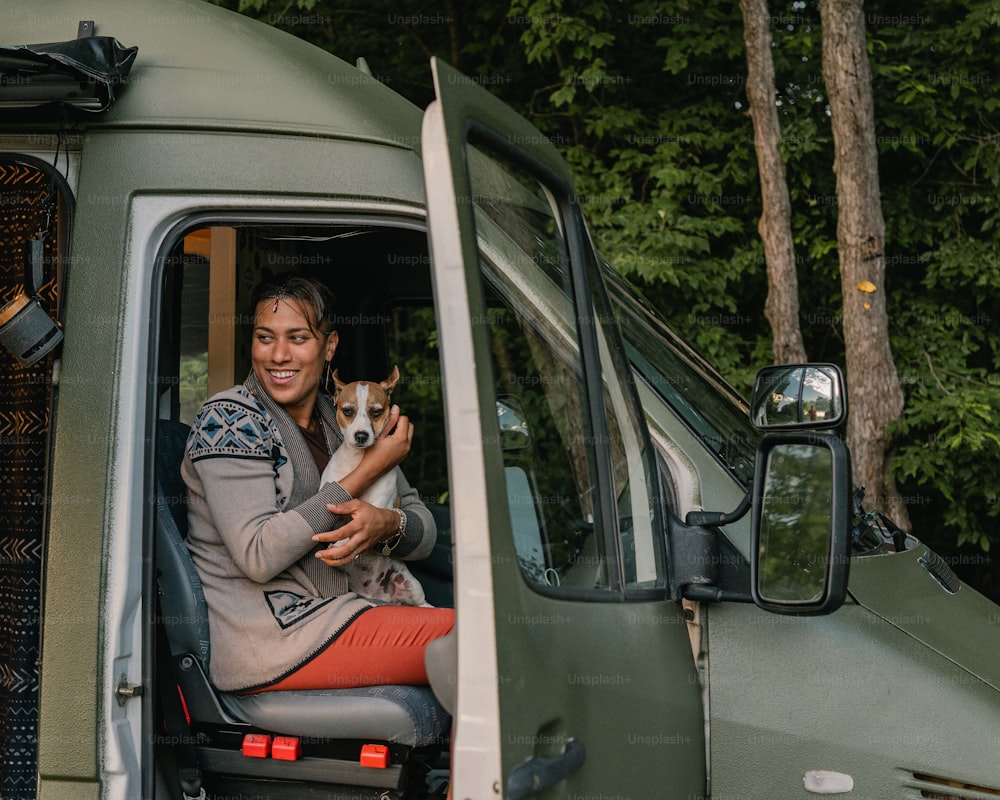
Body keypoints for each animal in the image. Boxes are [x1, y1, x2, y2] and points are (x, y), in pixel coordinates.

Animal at [320, 364, 430, 608]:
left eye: (376, 412)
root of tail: (377, 596)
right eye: (348, 411)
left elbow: (354, 529)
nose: (361, 435)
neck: (358, 461)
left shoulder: (375, 508)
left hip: (411, 585)